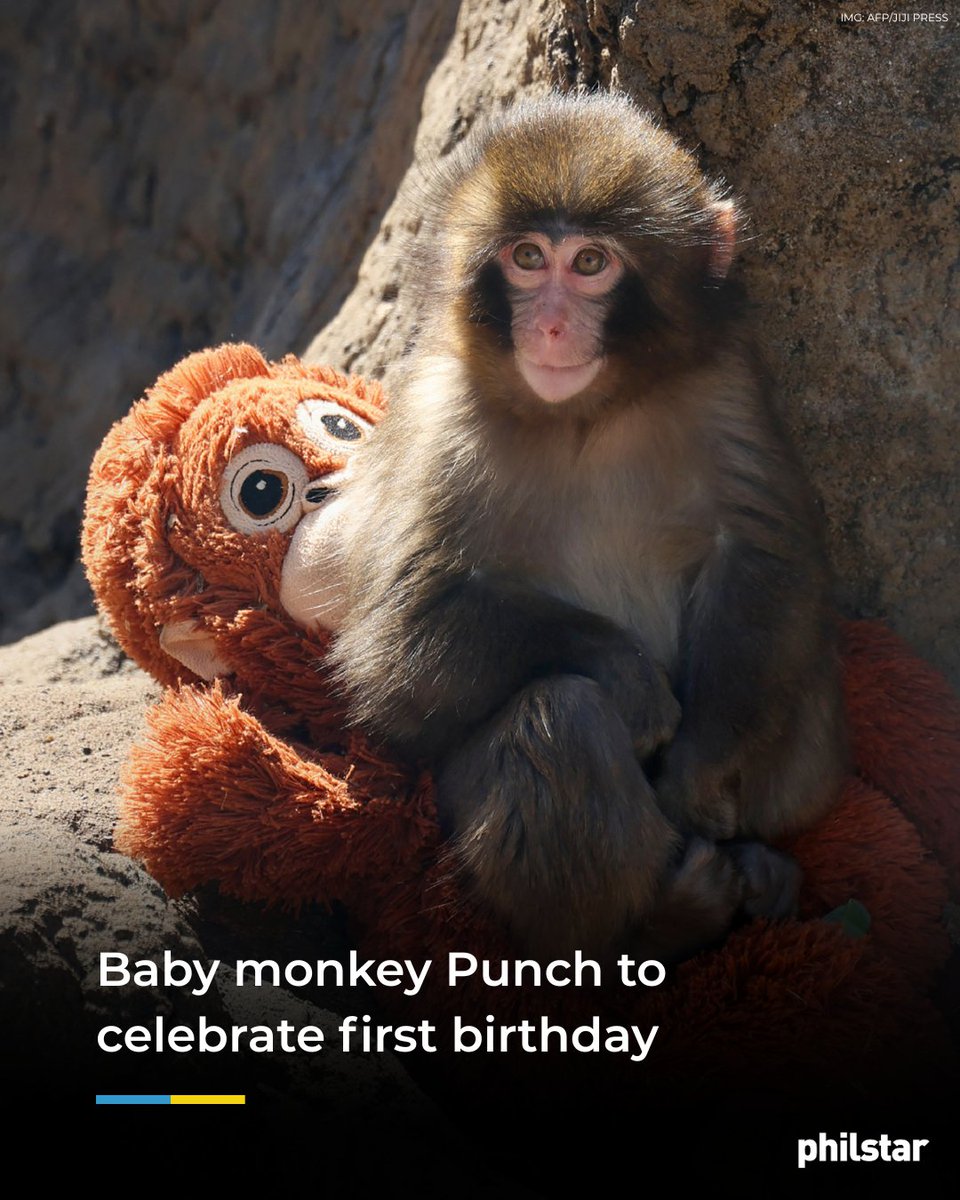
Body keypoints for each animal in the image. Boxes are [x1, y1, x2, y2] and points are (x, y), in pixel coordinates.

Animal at [314, 92, 846, 959]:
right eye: (529, 258)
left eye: (591, 265)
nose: (553, 327)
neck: (585, 414)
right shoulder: (439, 413)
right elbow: (400, 639)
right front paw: (628, 677)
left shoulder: (725, 376)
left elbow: (763, 556)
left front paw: (697, 772)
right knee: (558, 720)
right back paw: (670, 916)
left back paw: (760, 867)